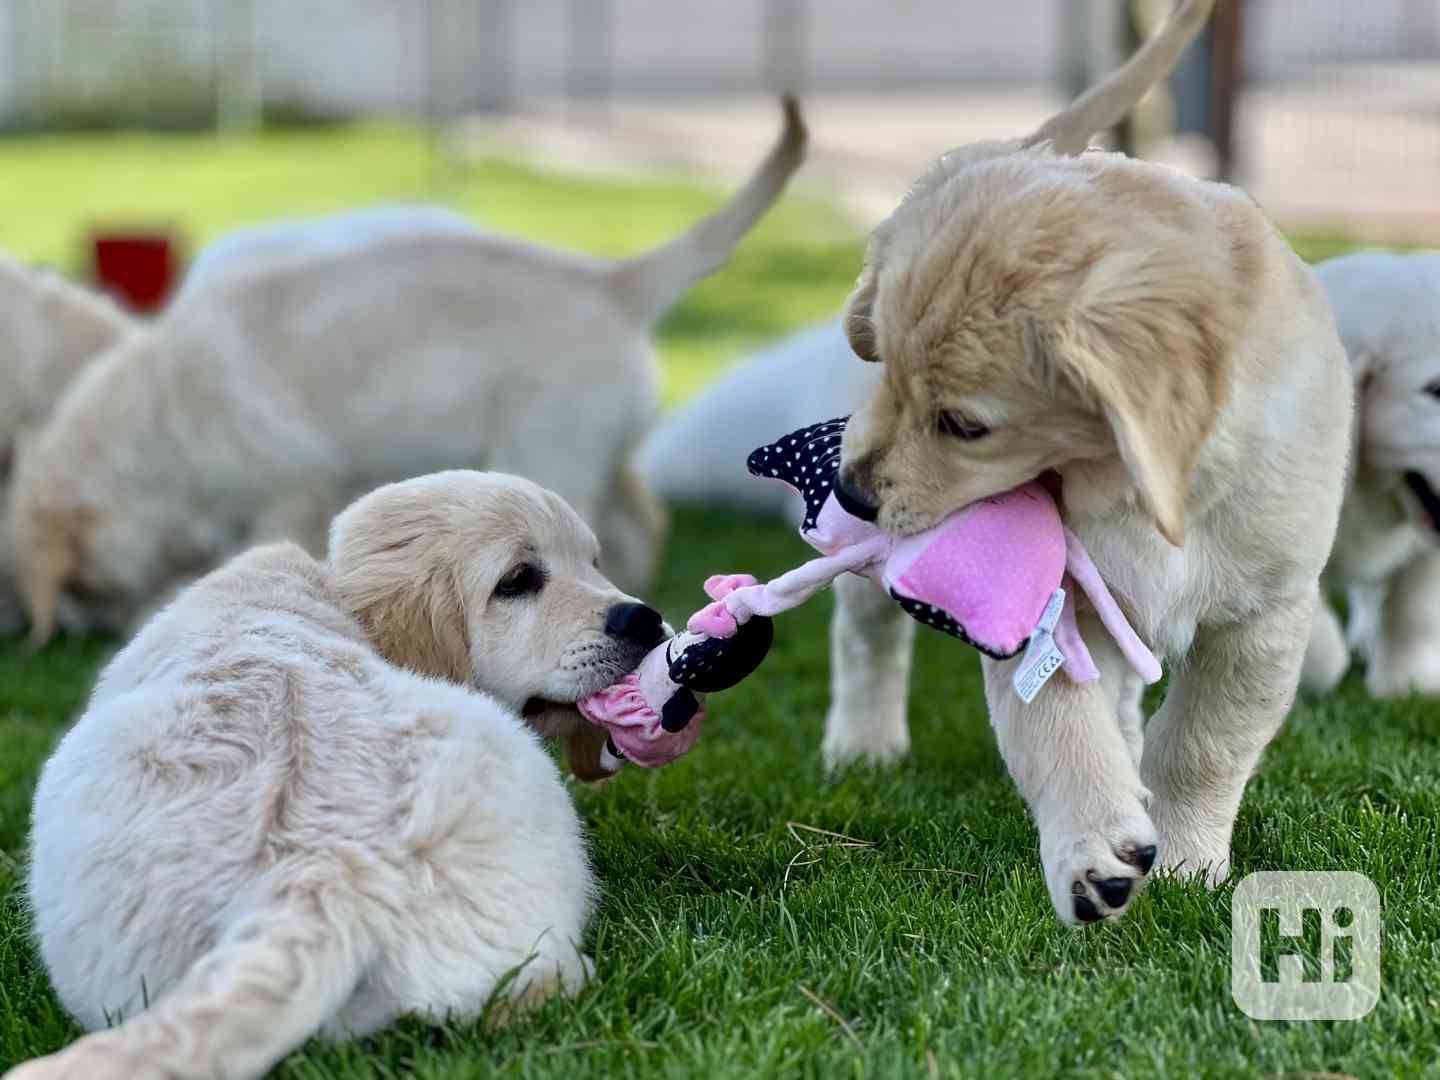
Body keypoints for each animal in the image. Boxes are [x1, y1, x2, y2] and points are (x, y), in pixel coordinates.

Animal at [5, 97, 806, 642]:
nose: (49, 629)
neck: (163, 422)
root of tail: (610, 282)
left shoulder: (291, 491)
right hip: (598, 442)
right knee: (640, 520)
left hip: (548, 446)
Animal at [829, 0, 1353, 933]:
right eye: (886, 370)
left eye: (964, 425)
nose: (852, 494)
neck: (1145, 492)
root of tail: (1033, 143)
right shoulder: (1049, 601)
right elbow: (1060, 728)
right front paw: (1094, 853)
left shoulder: (1263, 616)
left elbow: (1203, 744)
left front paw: (1184, 857)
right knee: (866, 633)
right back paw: (862, 744)